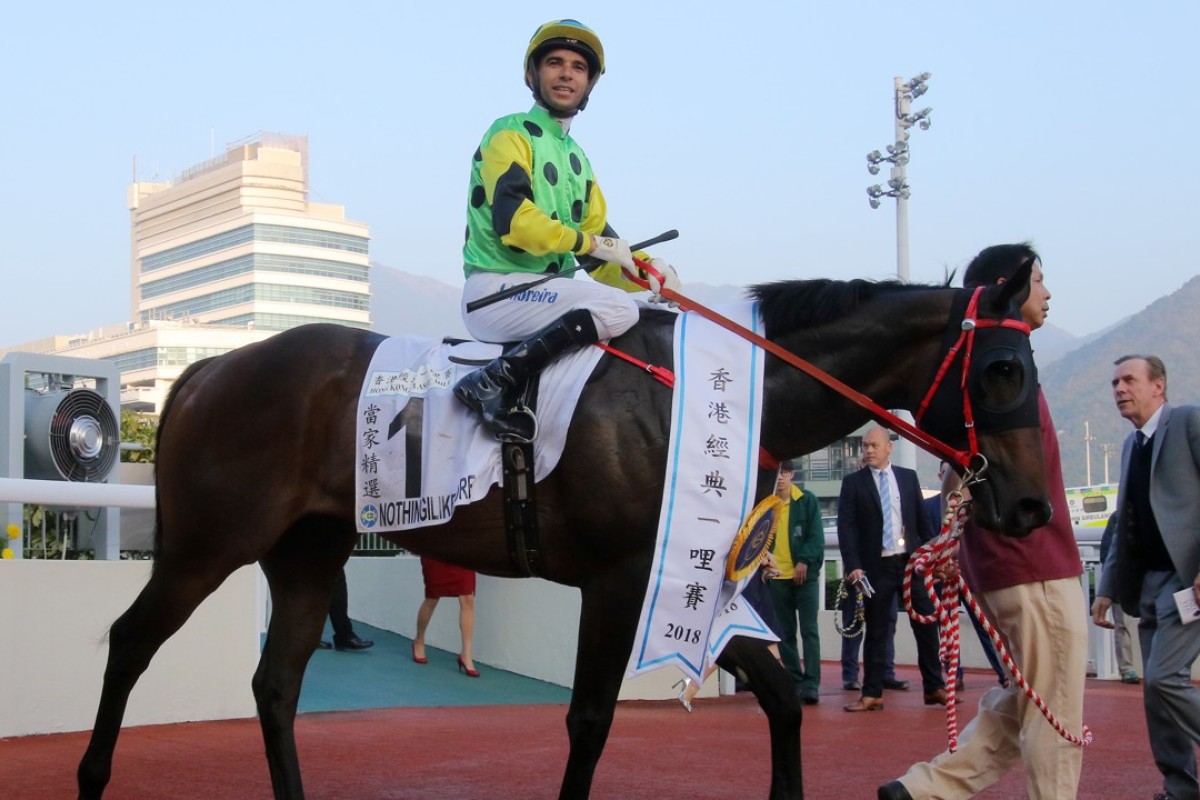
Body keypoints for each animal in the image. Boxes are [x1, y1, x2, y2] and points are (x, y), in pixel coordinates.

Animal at [77, 263, 1051, 800]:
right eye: (1005, 368)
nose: (1034, 508)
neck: (707, 399)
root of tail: (206, 368)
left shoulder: (691, 575)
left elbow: (779, 695)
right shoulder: (622, 578)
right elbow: (588, 720)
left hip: (307, 554)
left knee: (276, 685)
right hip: (209, 543)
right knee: (128, 640)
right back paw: (90, 776)